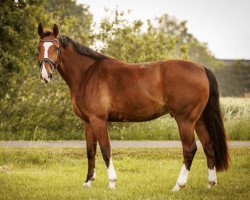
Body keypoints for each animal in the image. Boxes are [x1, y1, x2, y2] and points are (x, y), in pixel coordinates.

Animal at [36, 23, 229, 191]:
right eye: (39, 48)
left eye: (56, 48)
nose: (45, 75)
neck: (87, 74)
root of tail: (201, 68)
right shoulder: (87, 122)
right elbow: (90, 151)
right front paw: (88, 182)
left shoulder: (99, 120)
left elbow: (106, 150)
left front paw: (112, 183)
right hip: (199, 119)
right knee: (208, 146)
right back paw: (210, 184)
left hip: (185, 120)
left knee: (190, 149)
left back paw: (178, 186)